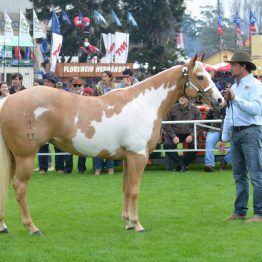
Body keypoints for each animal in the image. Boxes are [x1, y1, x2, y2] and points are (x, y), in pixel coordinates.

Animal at [0, 54, 225, 234]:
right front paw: (137, 224)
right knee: (19, 187)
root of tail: (8, 101)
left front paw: (127, 222)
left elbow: (125, 188)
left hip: (13, 157)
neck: (144, 104)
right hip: (25, 157)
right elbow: (134, 189)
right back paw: (32, 227)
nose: (220, 100)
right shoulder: (138, 157)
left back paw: (4, 226)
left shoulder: (127, 158)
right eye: (200, 76)